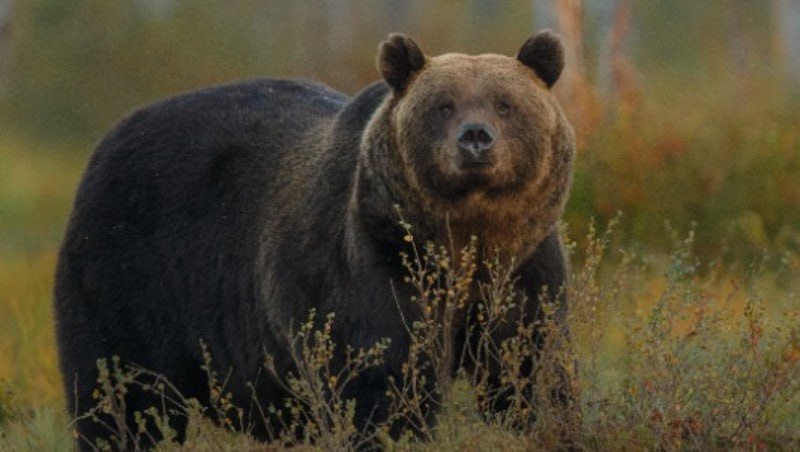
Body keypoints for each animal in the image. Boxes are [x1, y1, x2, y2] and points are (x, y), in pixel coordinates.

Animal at [53, 30, 572, 450]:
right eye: (443, 105)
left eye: (505, 104)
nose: (476, 138)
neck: (463, 237)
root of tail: (109, 138)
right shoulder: (372, 259)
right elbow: (380, 377)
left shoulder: (524, 264)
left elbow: (528, 363)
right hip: (128, 274)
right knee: (121, 394)